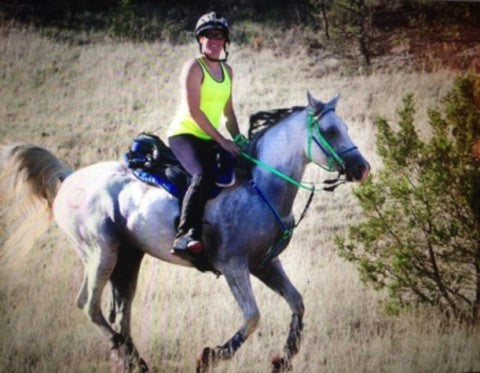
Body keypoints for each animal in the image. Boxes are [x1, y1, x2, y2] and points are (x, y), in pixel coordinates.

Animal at [0, 91, 372, 370]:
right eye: (331, 131)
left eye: (344, 127)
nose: (362, 168)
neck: (260, 185)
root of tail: (68, 180)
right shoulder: (234, 266)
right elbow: (252, 317)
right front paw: (210, 356)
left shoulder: (265, 264)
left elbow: (297, 302)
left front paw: (283, 358)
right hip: (100, 253)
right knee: (89, 306)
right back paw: (126, 354)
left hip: (128, 258)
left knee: (121, 312)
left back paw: (133, 359)